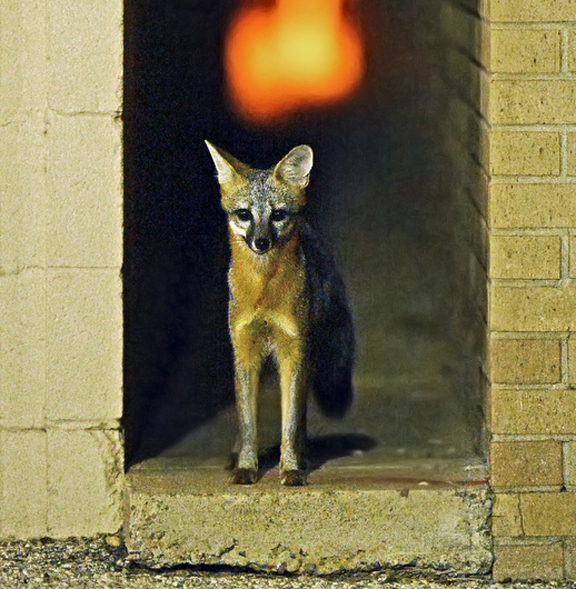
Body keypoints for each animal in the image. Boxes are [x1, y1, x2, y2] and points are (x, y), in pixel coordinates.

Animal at [205, 141, 354, 486]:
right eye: (244, 214)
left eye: (278, 215)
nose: (261, 242)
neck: (263, 291)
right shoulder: (244, 352)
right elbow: (248, 423)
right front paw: (247, 466)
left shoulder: (293, 351)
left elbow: (290, 422)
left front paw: (291, 468)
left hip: (305, 356)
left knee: (301, 416)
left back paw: (302, 454)